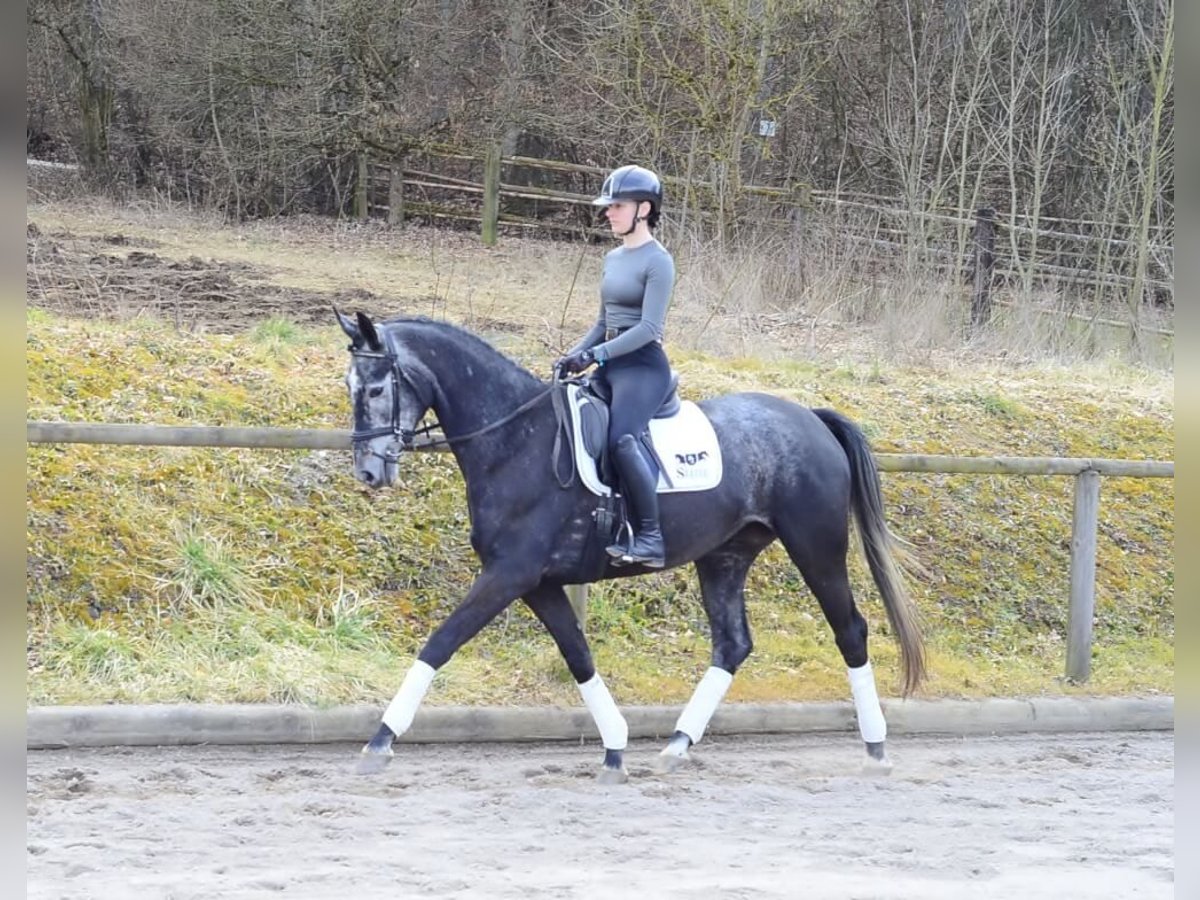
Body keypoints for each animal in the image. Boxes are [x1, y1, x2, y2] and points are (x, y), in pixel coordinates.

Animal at [338, 309, 926, 782]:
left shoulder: (509, 574)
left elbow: (440, 643)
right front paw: (615, 749)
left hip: (816, 546)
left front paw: (379, 741)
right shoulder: (538, 583)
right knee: (732, 644)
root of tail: (810, 418)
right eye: (349, 386)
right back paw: (676, 746)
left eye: (375, 390)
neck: (516, 441)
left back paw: (876, 750)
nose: (369, 472)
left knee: (850, 630)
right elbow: (578, 656)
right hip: (725, 556)